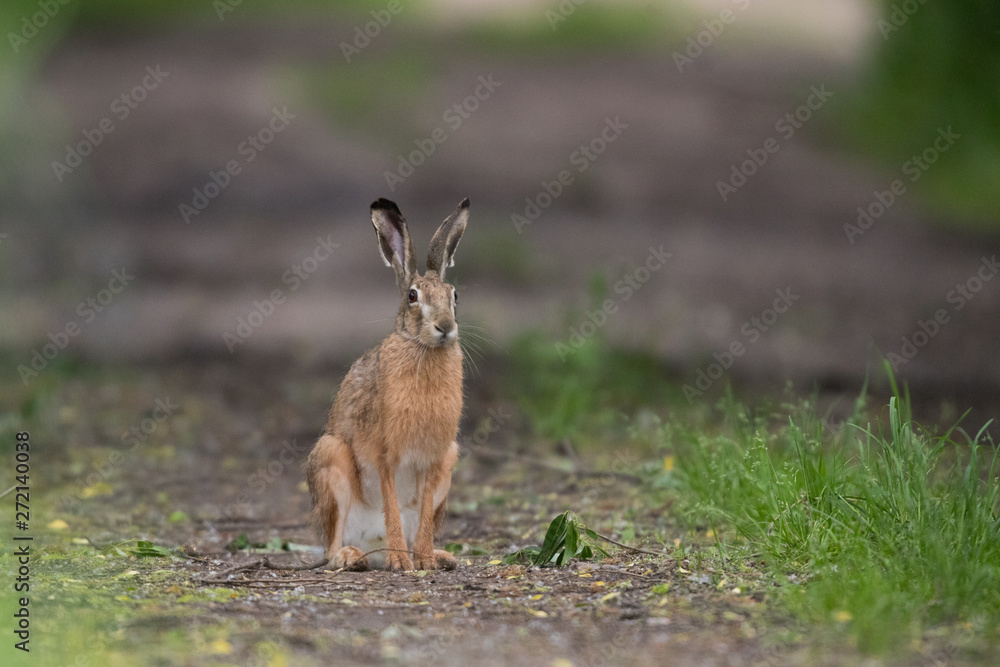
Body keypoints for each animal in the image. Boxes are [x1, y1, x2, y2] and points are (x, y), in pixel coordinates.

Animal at [306, 197, 468, 572]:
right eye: (412, 296)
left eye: (455, 295)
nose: (445, 327)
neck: (420, 347)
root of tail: (371, 547)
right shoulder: (385, 457)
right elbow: (391, 506)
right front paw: (400, 562)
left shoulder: (435, 460)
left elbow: (424, 515)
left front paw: (424, 561)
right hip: (330, 457)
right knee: (331, 549)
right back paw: (356, 557)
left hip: (451, 464)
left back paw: (439, 556)